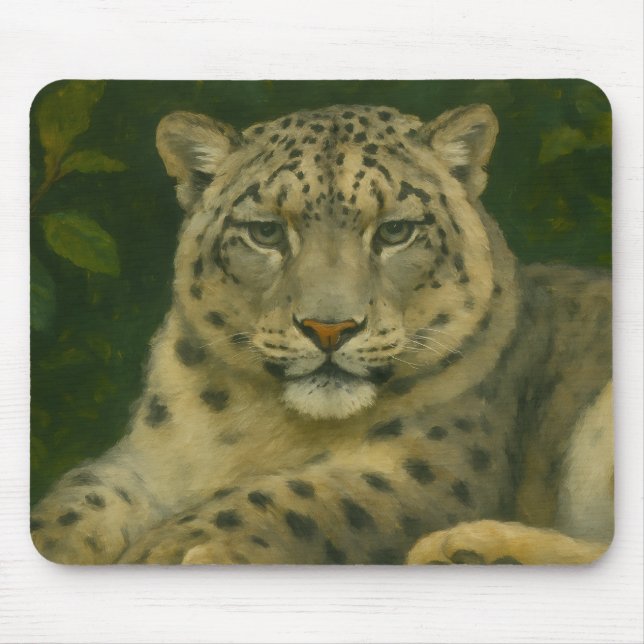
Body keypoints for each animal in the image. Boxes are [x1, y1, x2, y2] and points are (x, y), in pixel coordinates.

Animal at [30, 103, 613, 565]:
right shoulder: (144, 462)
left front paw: (166, 549)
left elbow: (289, 497)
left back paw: (466, 550)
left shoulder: (428, 469)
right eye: (266, 232)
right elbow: (76, 503)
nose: (329, 328)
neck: (263, 423)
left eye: (395, 230)